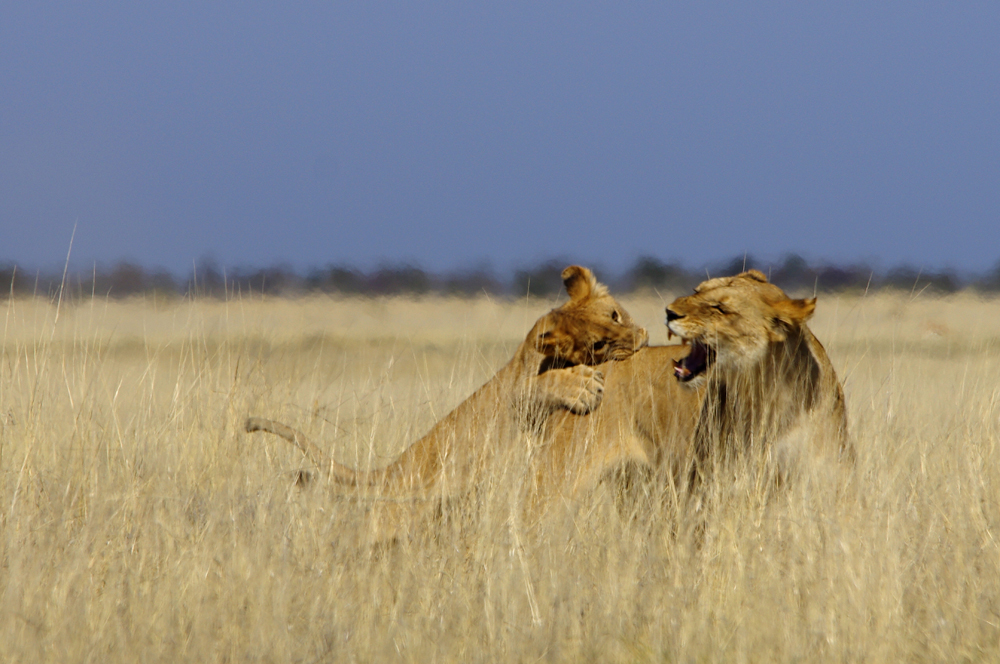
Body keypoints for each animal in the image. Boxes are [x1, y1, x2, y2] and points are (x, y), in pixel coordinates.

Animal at [243, 266, 648, 520]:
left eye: (615, 315)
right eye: (598, 344)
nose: (643, 339)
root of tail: (398, 466)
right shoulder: (519, 395)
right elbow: (539, 387)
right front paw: (583, 387)